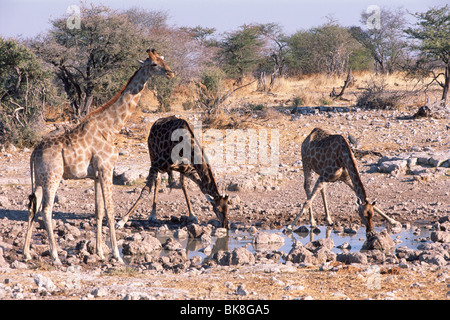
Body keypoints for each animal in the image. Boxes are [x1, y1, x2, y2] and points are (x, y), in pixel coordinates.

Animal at [23, 48, 174, 262]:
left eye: (163, 60)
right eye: (154, 64)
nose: (170, 73)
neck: (110, 127)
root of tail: (34, 152)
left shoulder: (96, 175)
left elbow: (98, 211)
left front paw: (100, 252)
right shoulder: (106, 169)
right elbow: (110, 211)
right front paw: (116, 255)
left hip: (38, 179)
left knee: (32, 207)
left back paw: (27, 253)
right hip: (53, 177)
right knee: (46, 210)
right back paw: (55, 256)